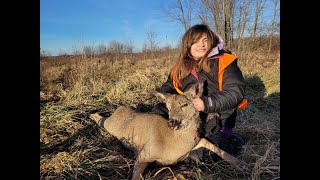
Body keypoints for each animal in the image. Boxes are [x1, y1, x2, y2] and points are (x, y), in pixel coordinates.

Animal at [89, 81, 241, 179]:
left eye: (185, 104)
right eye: (169, 107)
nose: (172, 122)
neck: (174, 144)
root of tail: (120, 108)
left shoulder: (197, 143)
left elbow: (215, 147)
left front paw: (240, 163)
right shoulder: (145, 153)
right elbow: (136, 176)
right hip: (111, 125)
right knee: (101, 119)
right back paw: (91, 113)